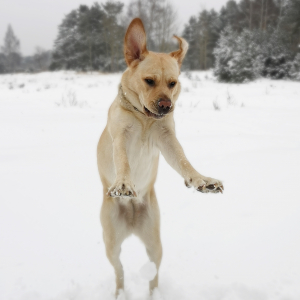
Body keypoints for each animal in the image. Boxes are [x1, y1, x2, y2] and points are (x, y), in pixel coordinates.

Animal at [97, 17, 224, 296]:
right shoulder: (120, 137)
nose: (167, 106)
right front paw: (124, 183)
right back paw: (120, 294)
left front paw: (201, 181)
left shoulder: (167, 140)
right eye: (149, 81)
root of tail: (132, 218)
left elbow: (184, 161)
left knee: (153, 272)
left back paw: (154, 294)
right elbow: (123, 161)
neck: (144, 119)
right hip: (111, 244)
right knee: (119, 271)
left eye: (172, 83)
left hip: (155, 241)